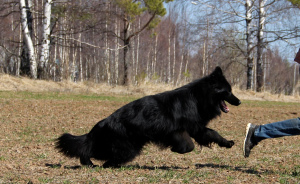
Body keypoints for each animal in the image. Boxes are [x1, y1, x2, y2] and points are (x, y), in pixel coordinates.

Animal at [55, 66, 240, 168]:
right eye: (228, 92)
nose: (239, 101)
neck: (198, 97)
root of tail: (102, 123)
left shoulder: (193, 129)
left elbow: (210, 135)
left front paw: (227, 143)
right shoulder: (179, 130)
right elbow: (192, 143)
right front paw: (177, 149)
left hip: (126, 147)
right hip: (126, 149)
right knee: (94, 153)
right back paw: (94, 164)